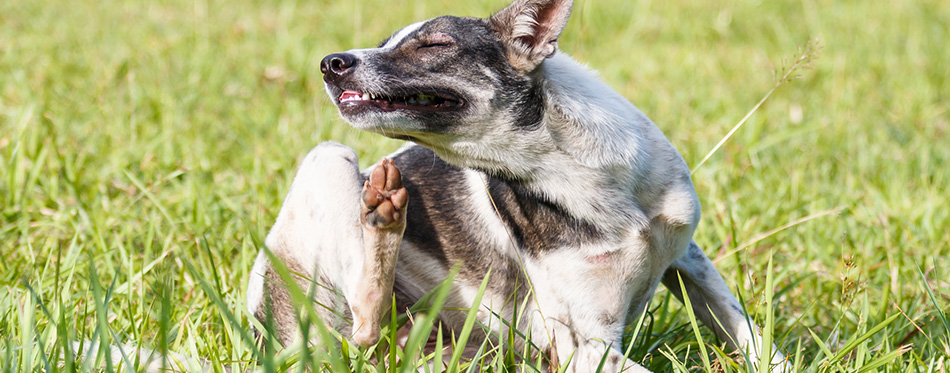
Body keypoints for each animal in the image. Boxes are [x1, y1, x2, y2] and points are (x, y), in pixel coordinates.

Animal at [245, 0, 788, 370]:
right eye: (386, 43)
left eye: (433, 45)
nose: (329, 62)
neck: (571, 167)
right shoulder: (586, 346)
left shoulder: (688, 259)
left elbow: (753, 337)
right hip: (327, 159)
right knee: (362, 323)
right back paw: (382, 213)